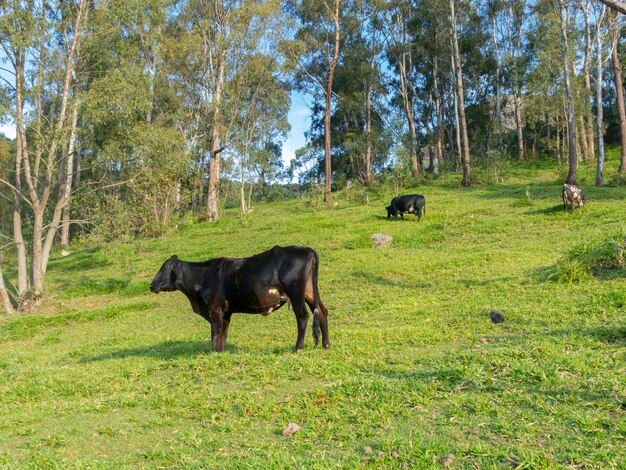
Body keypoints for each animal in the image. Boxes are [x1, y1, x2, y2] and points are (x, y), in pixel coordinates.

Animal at [149, 246, 330, 352]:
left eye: (165, 267)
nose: (151, 285)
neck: (203, 277)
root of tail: (308, 249)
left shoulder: (215, 309)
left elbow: (215, 333)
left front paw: (214, 353)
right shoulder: (226, 312)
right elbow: (222, 334)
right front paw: (220, 352)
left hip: (296, 292)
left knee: (302, 316)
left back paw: (297, 348)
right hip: (309, 292)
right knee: (322, 311)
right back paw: (326, 344)